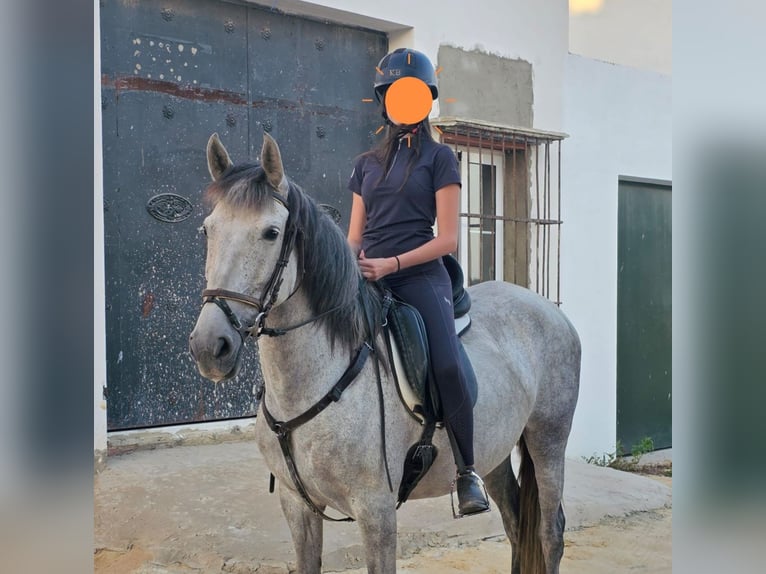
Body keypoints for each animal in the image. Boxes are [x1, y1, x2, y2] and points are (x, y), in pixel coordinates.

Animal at [188, 132, 581, 574]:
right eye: (208, 230)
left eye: (271, 232)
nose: (210, 346)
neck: (318, 383)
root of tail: (549, 309)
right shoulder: (297, 506)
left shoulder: (375, 510)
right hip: (494, 450)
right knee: (515, 522)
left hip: (548, 440)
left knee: (550, 531)